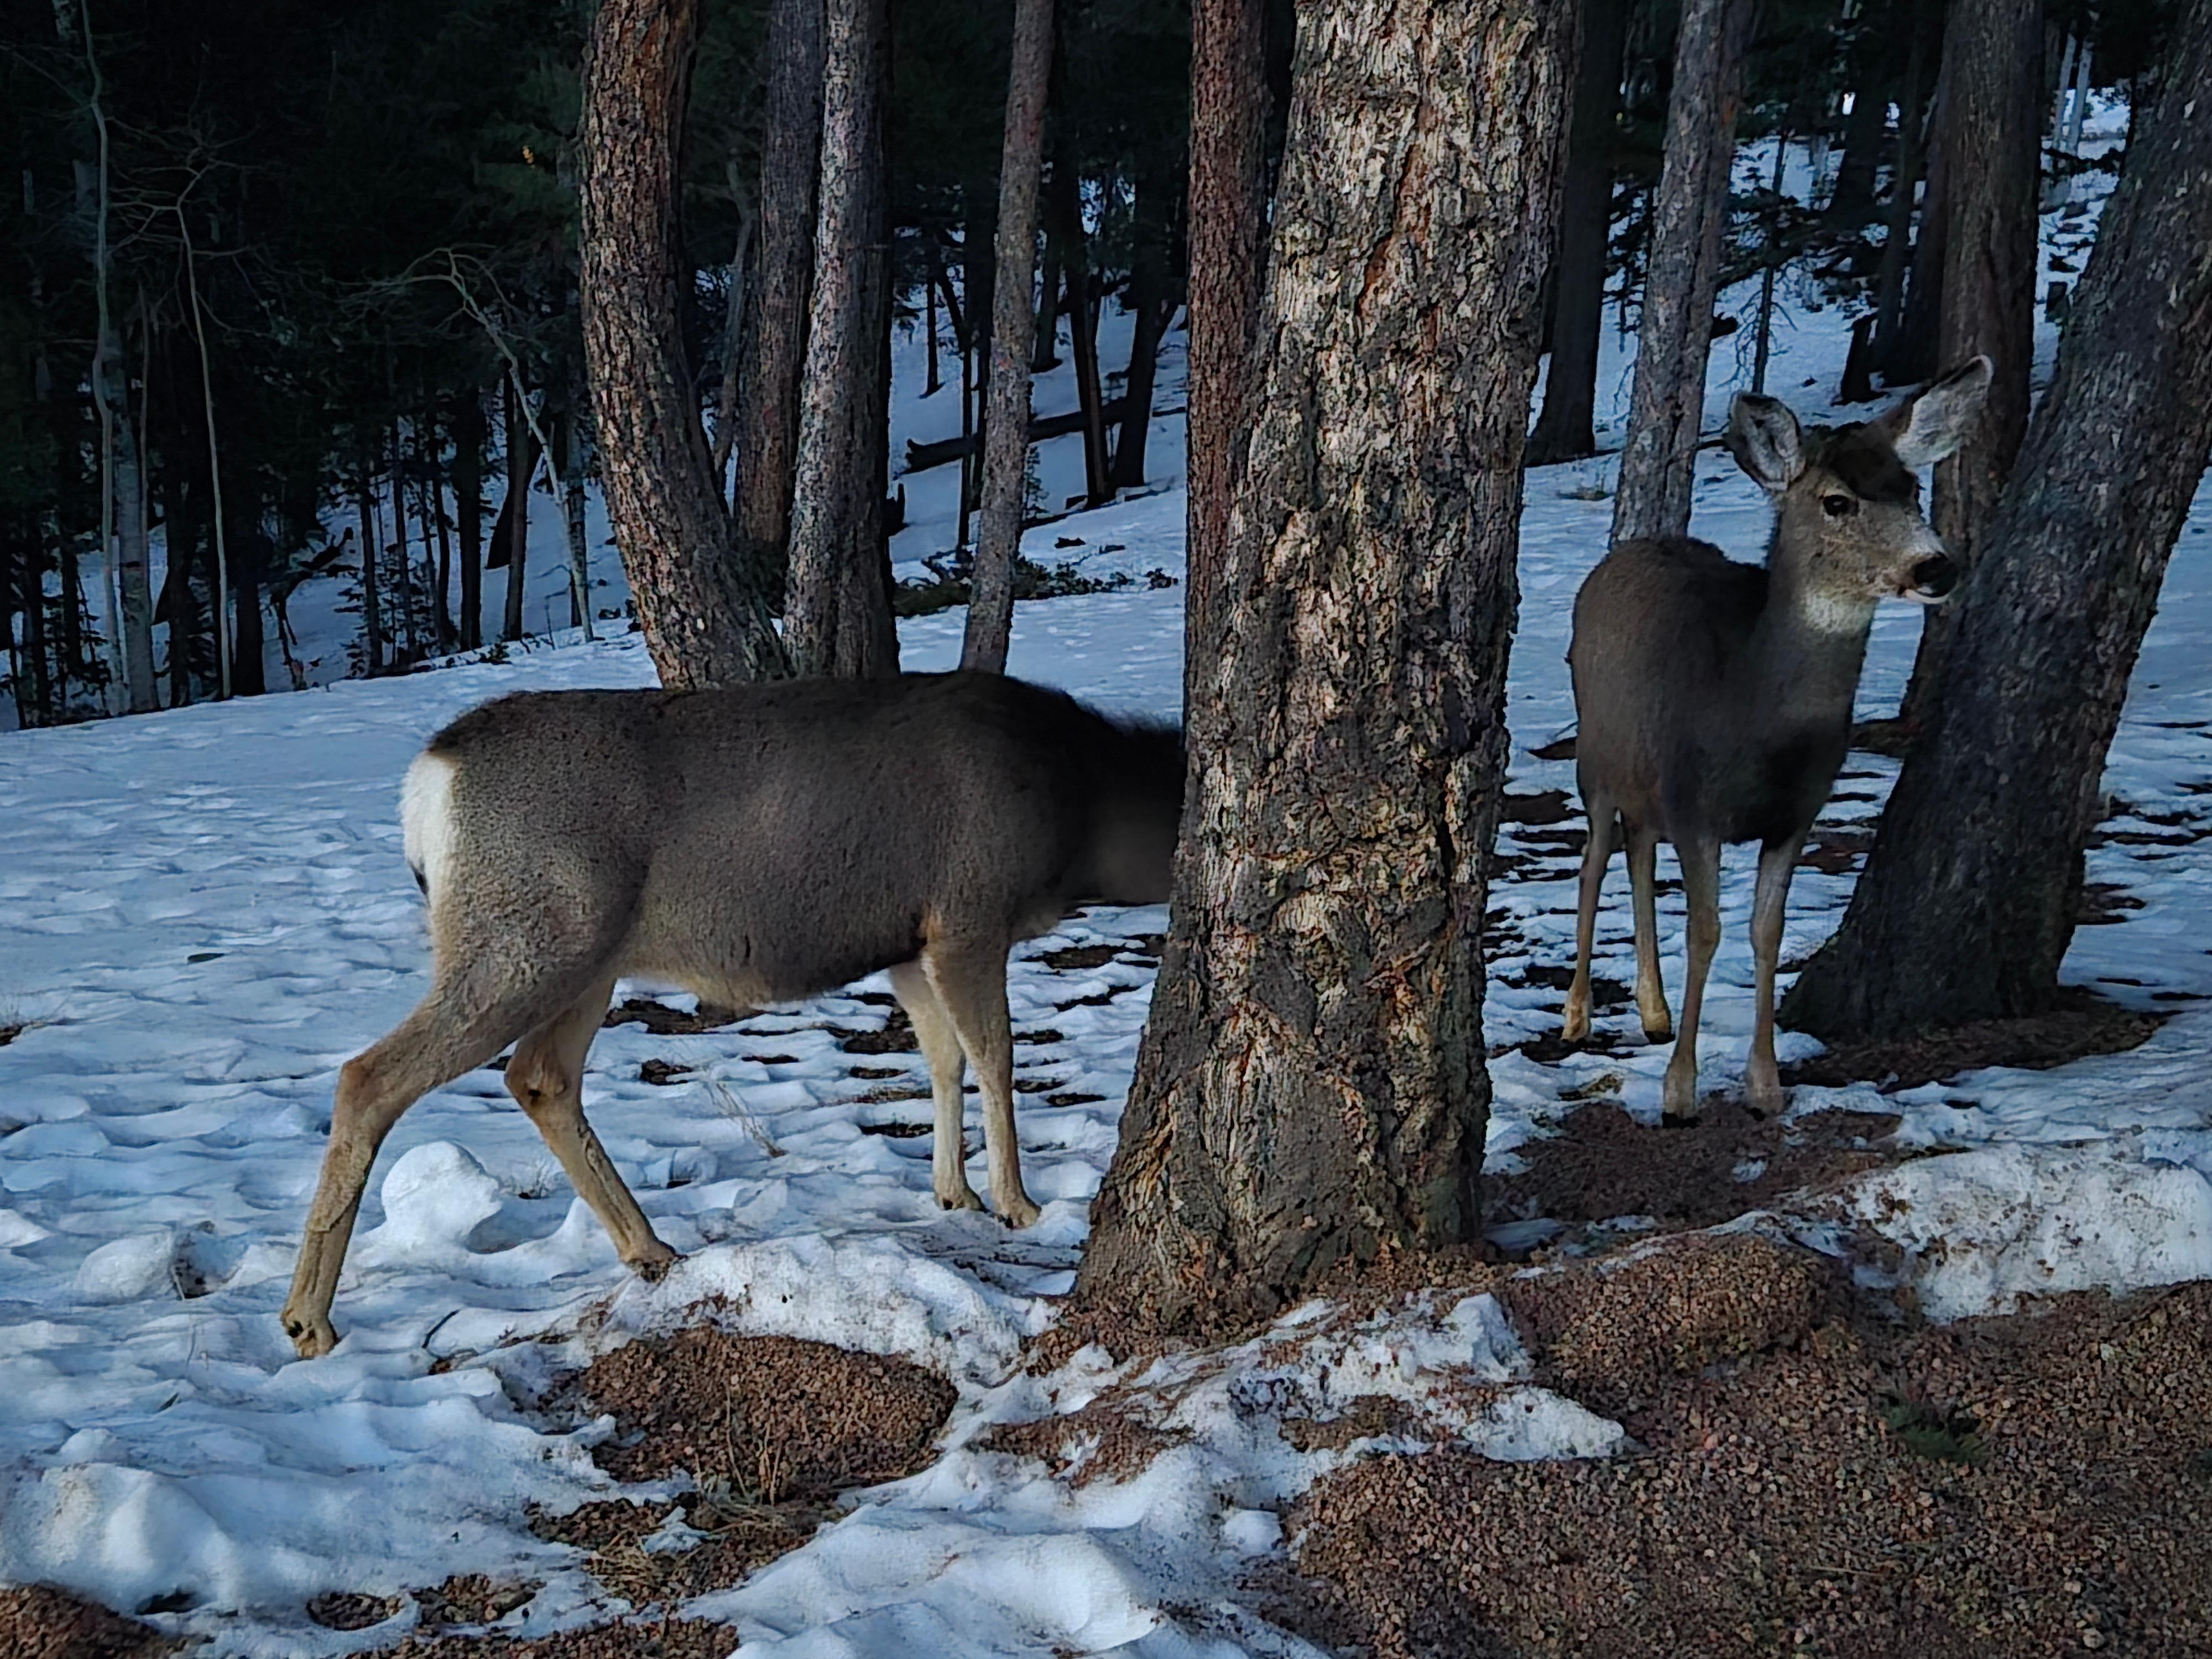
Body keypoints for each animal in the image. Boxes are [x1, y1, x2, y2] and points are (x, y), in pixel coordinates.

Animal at [280, 671, 1183, 1359]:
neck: (1084, 803)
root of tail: (429, 779)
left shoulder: (905, 940)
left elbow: (942, 1057)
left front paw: (951, 1193)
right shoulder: (968, 914)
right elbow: (995, 1055)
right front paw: (1017, 1204)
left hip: (586, 958)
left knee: (540, 1078)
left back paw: (650, 1249)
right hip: (527, 937)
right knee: (371, 1075)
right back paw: (309, 1321)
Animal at [1559, 356, 1992, 1122]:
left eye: (1911, 489)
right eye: (1836, 502)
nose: (1936, 566)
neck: (1752, 716)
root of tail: (1617, 557)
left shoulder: (1795, 813)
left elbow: (1767, 931)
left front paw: (1765, 1087)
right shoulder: (1696, 804)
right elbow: (1706, 931)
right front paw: (1679, 1092)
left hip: (1645, 779)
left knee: (1637, 853)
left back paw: (1653, 1011)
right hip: (1596, 758)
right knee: (1594, 862)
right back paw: (1577, 1017)